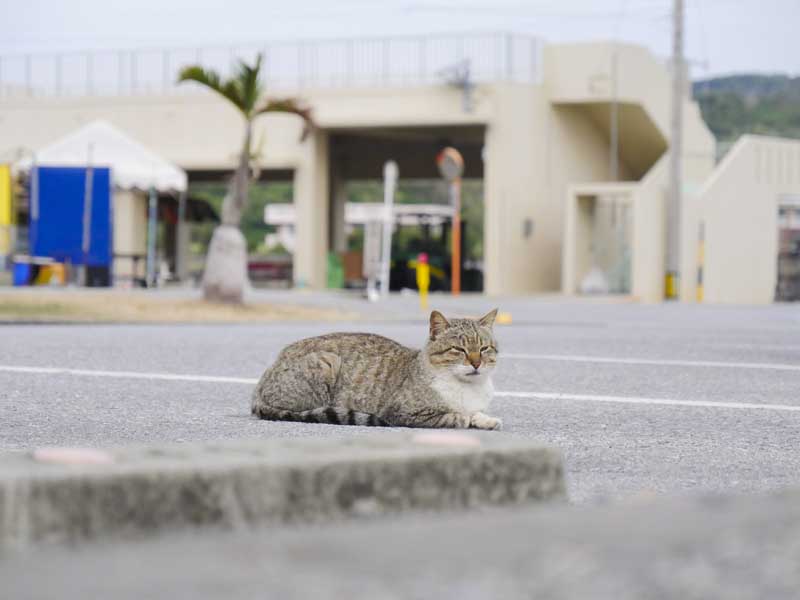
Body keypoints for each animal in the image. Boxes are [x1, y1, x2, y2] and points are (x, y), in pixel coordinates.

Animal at [251, 309, 502, 430]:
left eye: (484, 348)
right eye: (459, 349)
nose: (476, 363)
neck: (468, 388)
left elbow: (477, 413)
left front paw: (486, 419)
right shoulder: (404, 412)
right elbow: (456, 417)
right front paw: (466, 418)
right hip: (326, 362)